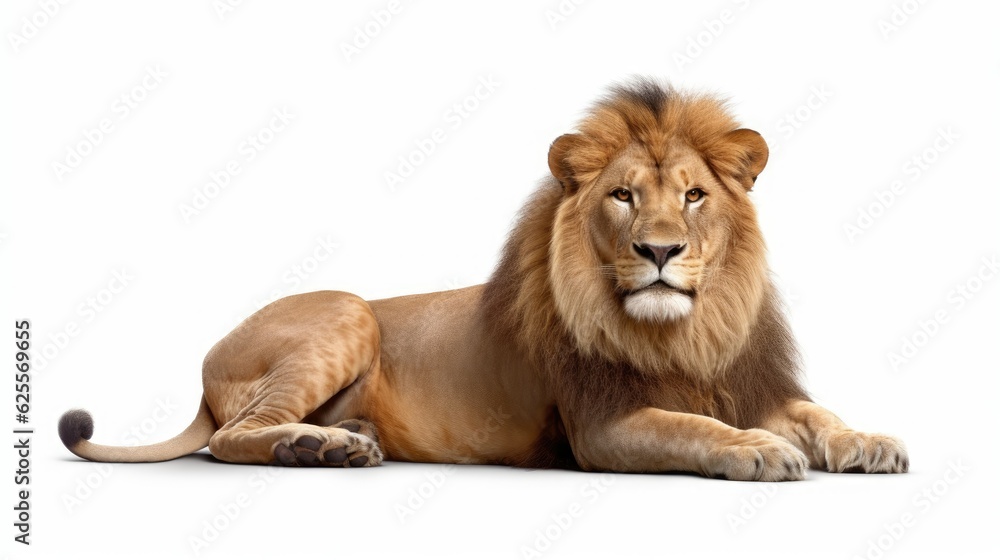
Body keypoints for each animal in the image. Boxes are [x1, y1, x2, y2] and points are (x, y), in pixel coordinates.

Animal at [60, 79, 907, 481]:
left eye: (694, 195)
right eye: (623, 196)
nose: (659, 251)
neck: (688, 330)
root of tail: (206, 363)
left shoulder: (747, 381)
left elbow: (819, 414)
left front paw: (870, 441)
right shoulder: (603, 426)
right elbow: (692, 428)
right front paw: (758, 450)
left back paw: (342, 442)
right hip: (345, 312)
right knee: (228, 437)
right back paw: (313, 445)